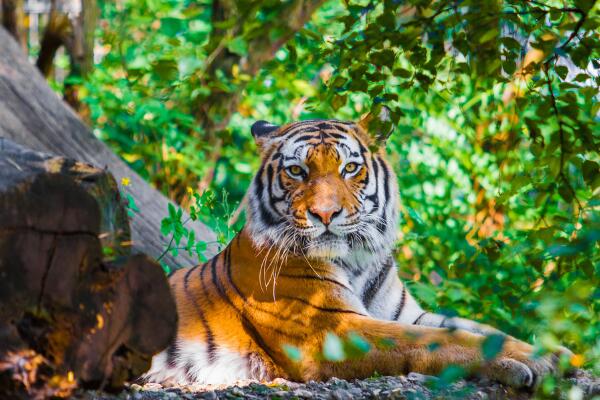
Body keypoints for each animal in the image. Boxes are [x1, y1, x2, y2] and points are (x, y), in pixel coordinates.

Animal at [143, 114, 564, 390]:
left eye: (349, 168)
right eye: (296, 171)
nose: (325, 214)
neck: (356, 261)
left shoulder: (404, 313)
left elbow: (476, 328)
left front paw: (553, 352)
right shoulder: (334, 328)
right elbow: (438, 340)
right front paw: (525, 362)